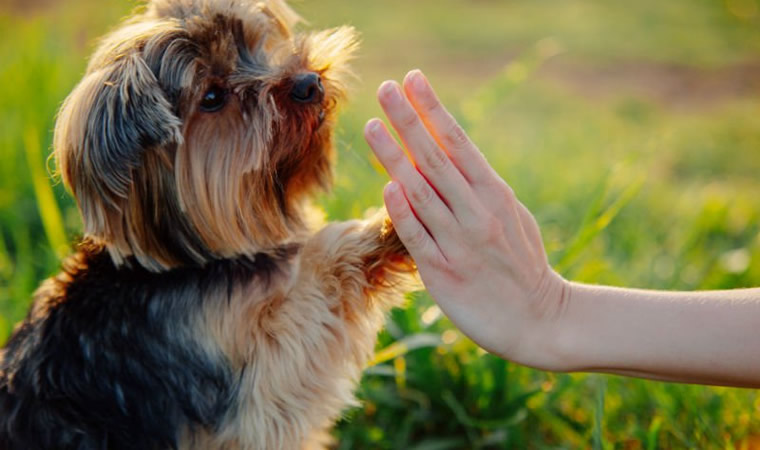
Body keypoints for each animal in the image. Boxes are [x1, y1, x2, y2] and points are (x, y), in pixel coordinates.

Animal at [0, 1, 416, 448]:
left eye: (255, 45)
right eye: (212, 97)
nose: (309, 83)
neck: (194, 260)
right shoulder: (251, 388)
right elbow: (310, 298)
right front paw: (390, 225)